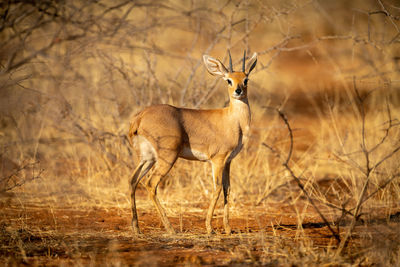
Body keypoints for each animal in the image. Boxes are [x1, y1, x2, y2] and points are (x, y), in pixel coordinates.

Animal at [130, 51, 258, 236]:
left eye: (246, 79)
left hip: (148, 158)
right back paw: (170, 229)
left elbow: (227, 189)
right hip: (167, 157)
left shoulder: (228, 162)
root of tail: (140, 117)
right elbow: (217, 189)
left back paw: (136, 228)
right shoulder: (217, 160)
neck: (233, 121)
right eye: (228, 80)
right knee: (150, 184)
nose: (238, 91)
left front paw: (227, 228)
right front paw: (210, 228)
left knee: (133, 180)